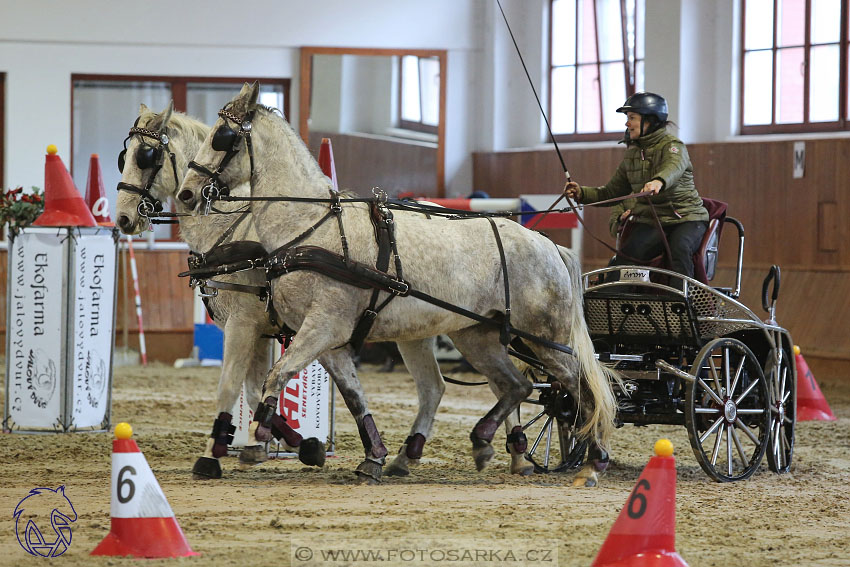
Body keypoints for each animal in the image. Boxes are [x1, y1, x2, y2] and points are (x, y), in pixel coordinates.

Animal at [176, 84, 620, 488]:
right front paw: (363, 455)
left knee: (579, 387)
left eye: (221, 135)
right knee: (517, 385)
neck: (310, 228)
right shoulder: (323, 337)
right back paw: (475, 444)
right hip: (478, 336)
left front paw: (265, 434)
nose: (186, 193)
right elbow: (347, 394)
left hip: (547, 338)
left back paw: (594, 459)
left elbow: (275, 376)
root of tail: (548, 245)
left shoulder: (323, 326)